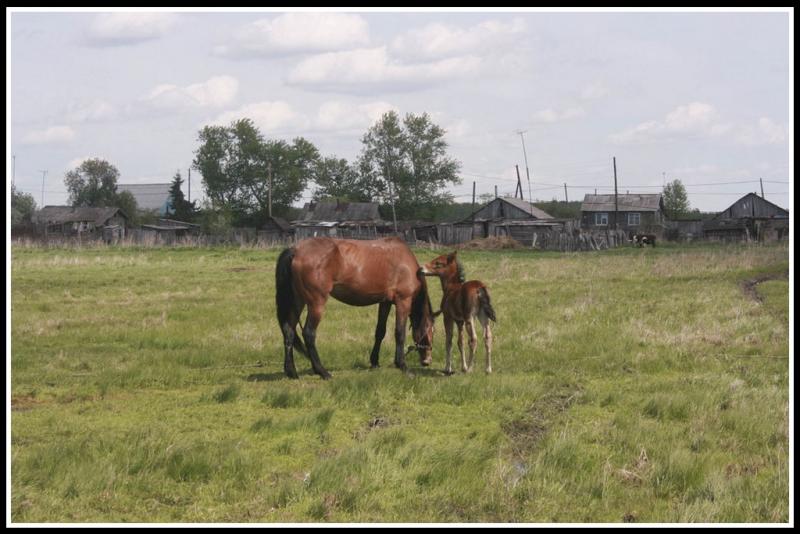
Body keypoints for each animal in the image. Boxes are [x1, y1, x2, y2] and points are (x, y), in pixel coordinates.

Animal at [276, 239, 438, 382]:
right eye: (431, 330)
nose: (428, 360)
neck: (405, 262)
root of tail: (296, 250)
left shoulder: (385, 302)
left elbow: (380, 331)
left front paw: (375, 362)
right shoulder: (403, 301)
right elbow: (400, 333)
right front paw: (403, 366)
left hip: (298, 300)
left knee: (289, 331)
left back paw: (291, 372)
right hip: (316, 303)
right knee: (309, 333)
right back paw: (322, 372)